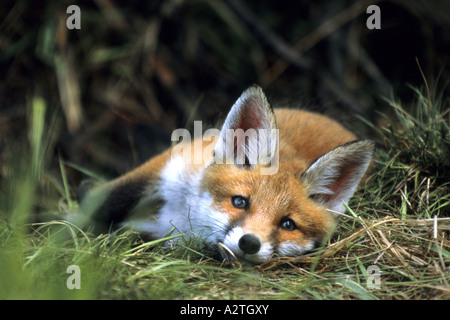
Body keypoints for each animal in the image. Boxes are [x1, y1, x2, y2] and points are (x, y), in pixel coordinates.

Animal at [79, 84, 374, 262]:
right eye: (240, 202)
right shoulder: (167, 167)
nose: (250, 243)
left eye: (288, 224)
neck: (185, 216)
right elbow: (104, 201)